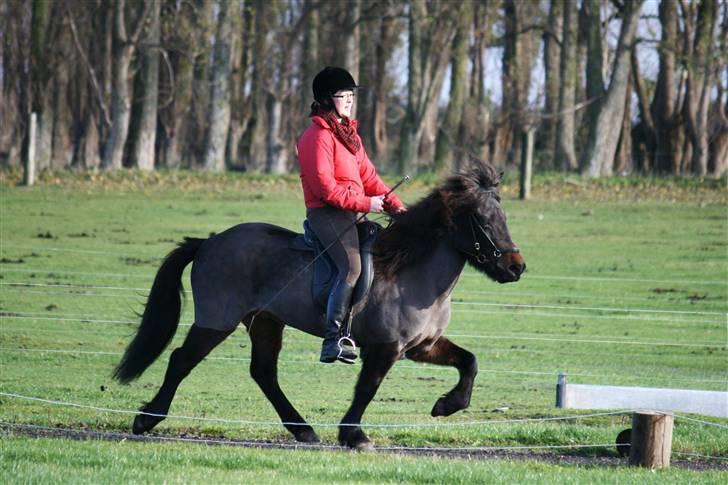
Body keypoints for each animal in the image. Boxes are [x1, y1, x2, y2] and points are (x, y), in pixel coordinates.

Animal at [112, 161, 524, 448]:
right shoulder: (386, 348)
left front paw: (446, 405)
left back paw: (303, 430)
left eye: (504, 217)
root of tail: (209, 241)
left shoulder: (423, 346)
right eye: (483, 220)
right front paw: (353, 434)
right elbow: (367, 387)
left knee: (263, 373)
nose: (516, 267)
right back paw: (147, 418)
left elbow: (469, 362)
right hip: (217, 321)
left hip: (265, 322)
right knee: (182, 360)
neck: (411, 272)